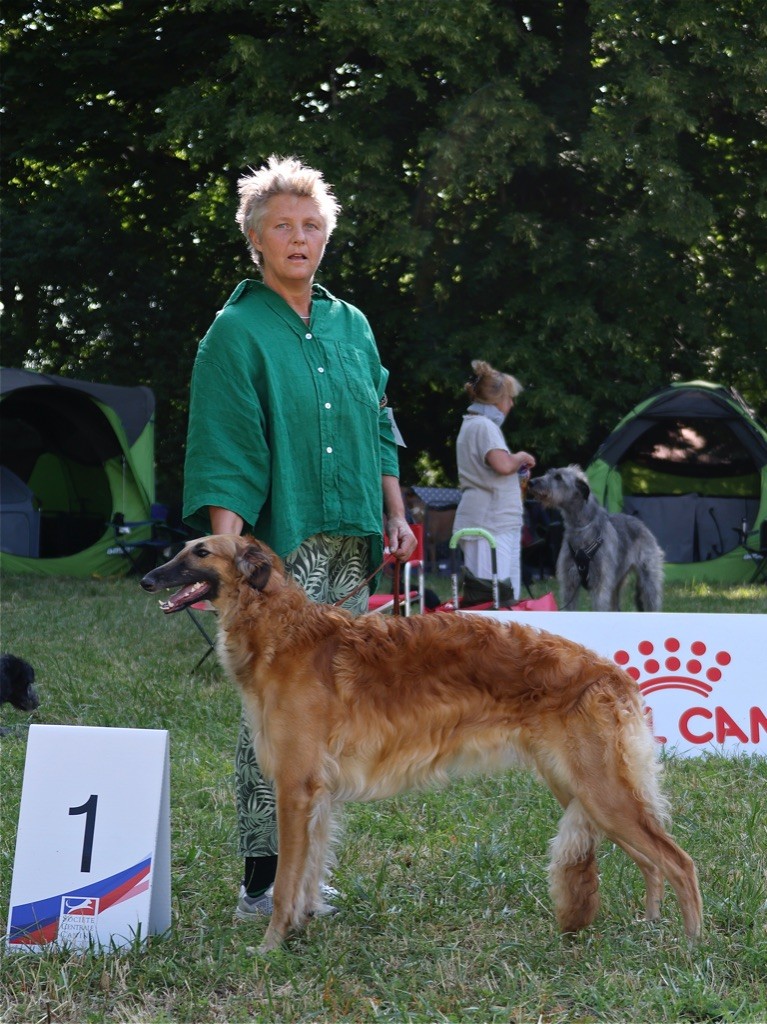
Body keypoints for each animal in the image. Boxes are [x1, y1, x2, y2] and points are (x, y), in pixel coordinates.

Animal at [142, 536, 700, 950]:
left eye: (199, 551)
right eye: (182, 548)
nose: (146, 578)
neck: (283, 631)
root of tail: (612, 673)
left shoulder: (293, 787)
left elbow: (285, 884)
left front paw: (271, 946)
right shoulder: (315, 794)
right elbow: (306, 873)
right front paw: (300, 926)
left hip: (603, 791)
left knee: (680, 863)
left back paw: (690, 947)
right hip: (585, 791)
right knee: (652, 862)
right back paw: (652, 928)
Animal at [528, 468, 663, 610]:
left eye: (558, 477)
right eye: (548, 473)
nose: (531, 482)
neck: (581, 529)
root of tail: (641, 524)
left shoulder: (601, 585)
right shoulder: (569, 584)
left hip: (648, 580)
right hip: (616, 582)